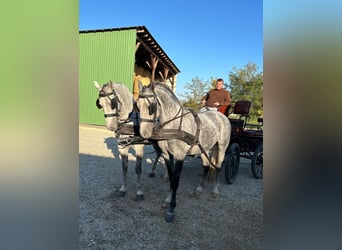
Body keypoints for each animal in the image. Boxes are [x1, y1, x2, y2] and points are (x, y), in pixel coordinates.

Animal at [137, 82, 232, 223]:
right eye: (137, 106)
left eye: (151, 107)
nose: (143, 134)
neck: (174, 125)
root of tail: (222, 117)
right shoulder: (167, 155)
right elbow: (171, 179)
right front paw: (168, 200)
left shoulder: (179, 156)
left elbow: (176, 181)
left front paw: (171, 210)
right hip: (204, 149)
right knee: (206, 165)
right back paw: (199, 189)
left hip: (221, 147)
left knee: (218, 167)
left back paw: (215, 191)